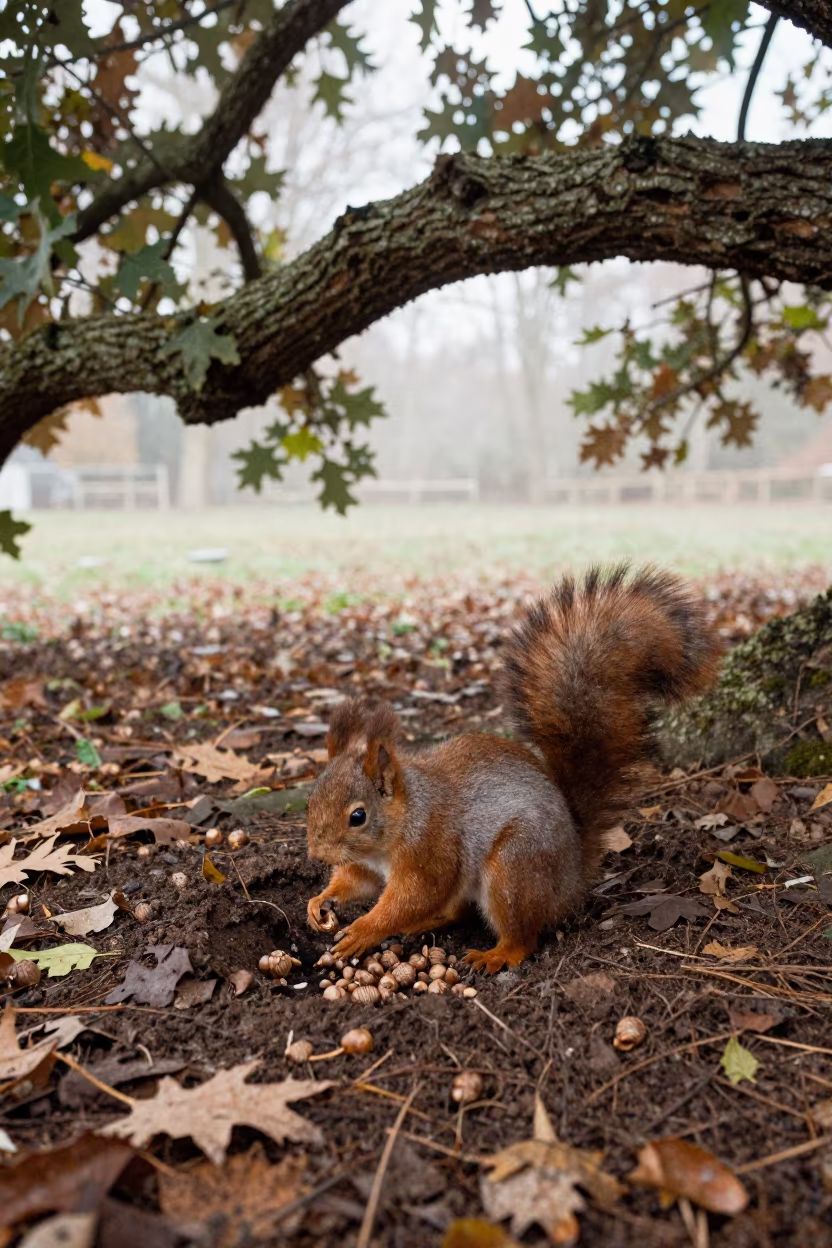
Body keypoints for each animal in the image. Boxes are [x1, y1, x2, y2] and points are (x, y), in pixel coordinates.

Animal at [305, 563, 719, 972]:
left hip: (514, 867)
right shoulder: (366, 862)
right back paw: (430, 923)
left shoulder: (430, 850)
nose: (317, 855)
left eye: (358, 816)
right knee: (457, 910)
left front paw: (364, 929)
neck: (403, 819)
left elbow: (414, 896)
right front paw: (321, 900)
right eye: (310, 801)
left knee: (522, 937)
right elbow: (357, 883)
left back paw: (496, 955)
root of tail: (572, 878)